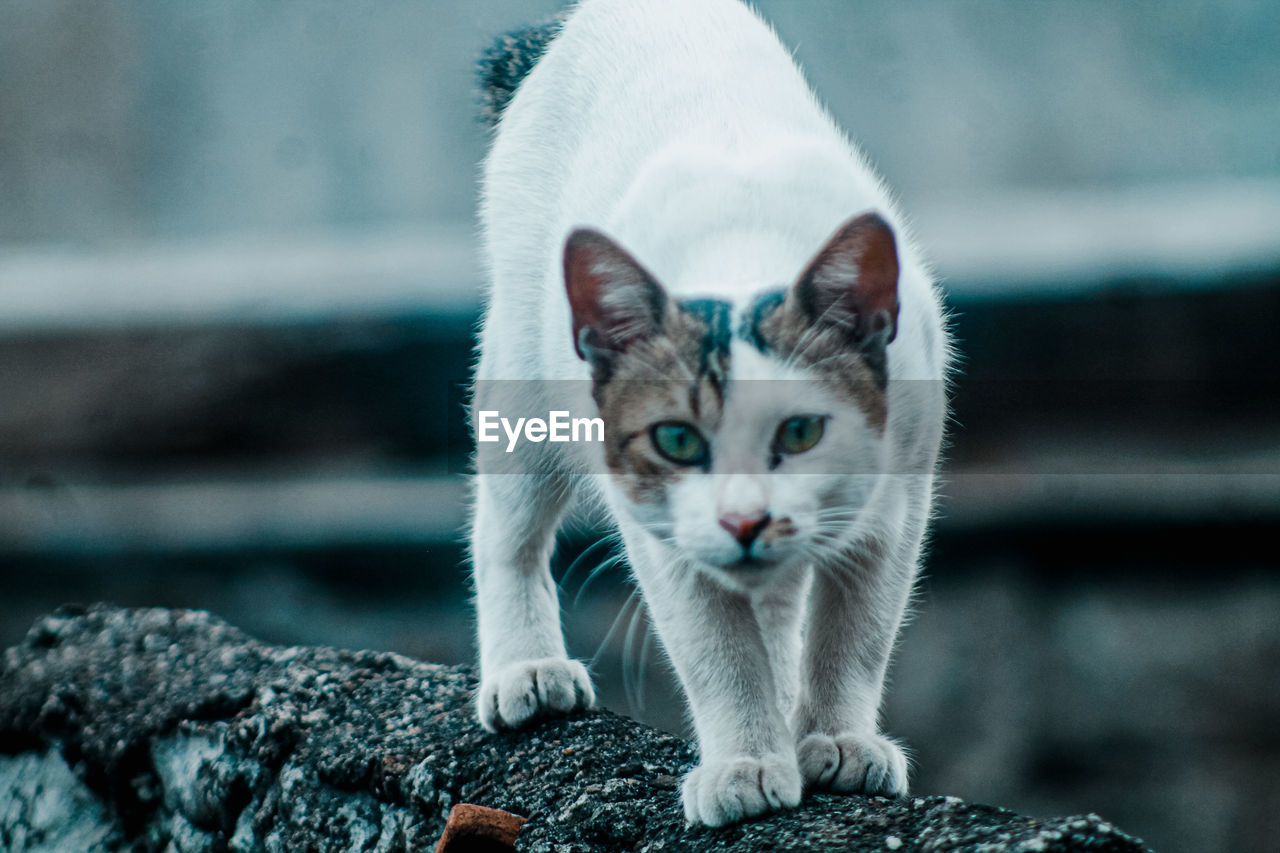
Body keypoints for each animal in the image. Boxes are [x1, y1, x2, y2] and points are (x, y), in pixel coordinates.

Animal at [471, 0, 952, 824]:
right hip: (524, 394)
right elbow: (718, 651)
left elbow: (854, 635)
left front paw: (836, 740)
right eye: (675, 439)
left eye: (801, 432)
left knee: (784, 607)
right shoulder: (663, 533)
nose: (743, 519)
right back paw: (526, 669)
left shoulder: (894, 505)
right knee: (504, 532)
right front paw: (747, 765)